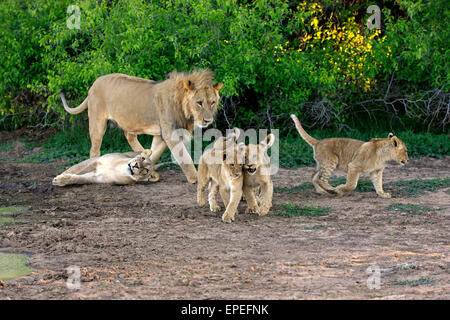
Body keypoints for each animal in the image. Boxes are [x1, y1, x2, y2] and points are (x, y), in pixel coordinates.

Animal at [59, 70, 221, 185]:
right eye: (199, 103)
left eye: (212, 102)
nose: (208, 120)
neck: (184, 110)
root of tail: (93, 85)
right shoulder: (170, 134)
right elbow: (185, 158)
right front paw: (196, 178)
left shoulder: (160, 135)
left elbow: (155, 153)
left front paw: (146, 163)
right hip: (97, 122)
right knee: (94, 150)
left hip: (131, 121)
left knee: (129, 135)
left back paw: (139, 151)